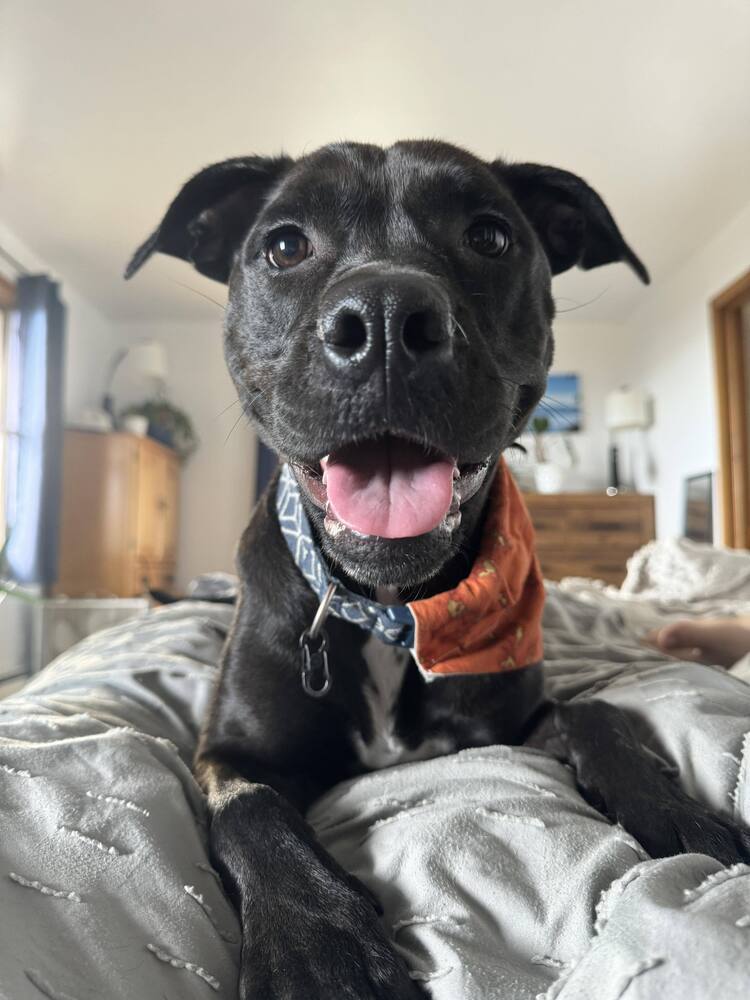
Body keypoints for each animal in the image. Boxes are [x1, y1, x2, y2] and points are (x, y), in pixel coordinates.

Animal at [126, 143, 748, 1000]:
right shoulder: (227, 753)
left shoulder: (511, 724)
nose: (386, 319)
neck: (392, 607)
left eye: (489, 237)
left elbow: (596, 713)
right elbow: (251, 811)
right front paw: (318, 946)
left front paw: (678, 810)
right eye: (284, 245)